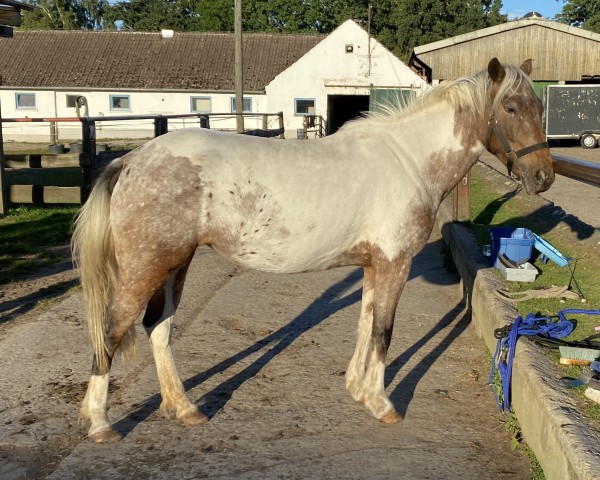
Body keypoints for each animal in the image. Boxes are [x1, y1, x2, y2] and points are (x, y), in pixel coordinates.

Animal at [72, 57, 556, 442]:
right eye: (511, 108)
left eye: (541, 107)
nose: (543, 177)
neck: (407, 160)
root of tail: (131, 160)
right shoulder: (394, 263)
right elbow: (383, 332)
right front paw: (382, 404)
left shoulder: (374, 265)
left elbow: (365, 324)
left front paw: (358, 390)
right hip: (147, 266)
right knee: (113, 329)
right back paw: (100, 424)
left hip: (175, 264)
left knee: (159, 328)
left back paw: (183, 408)